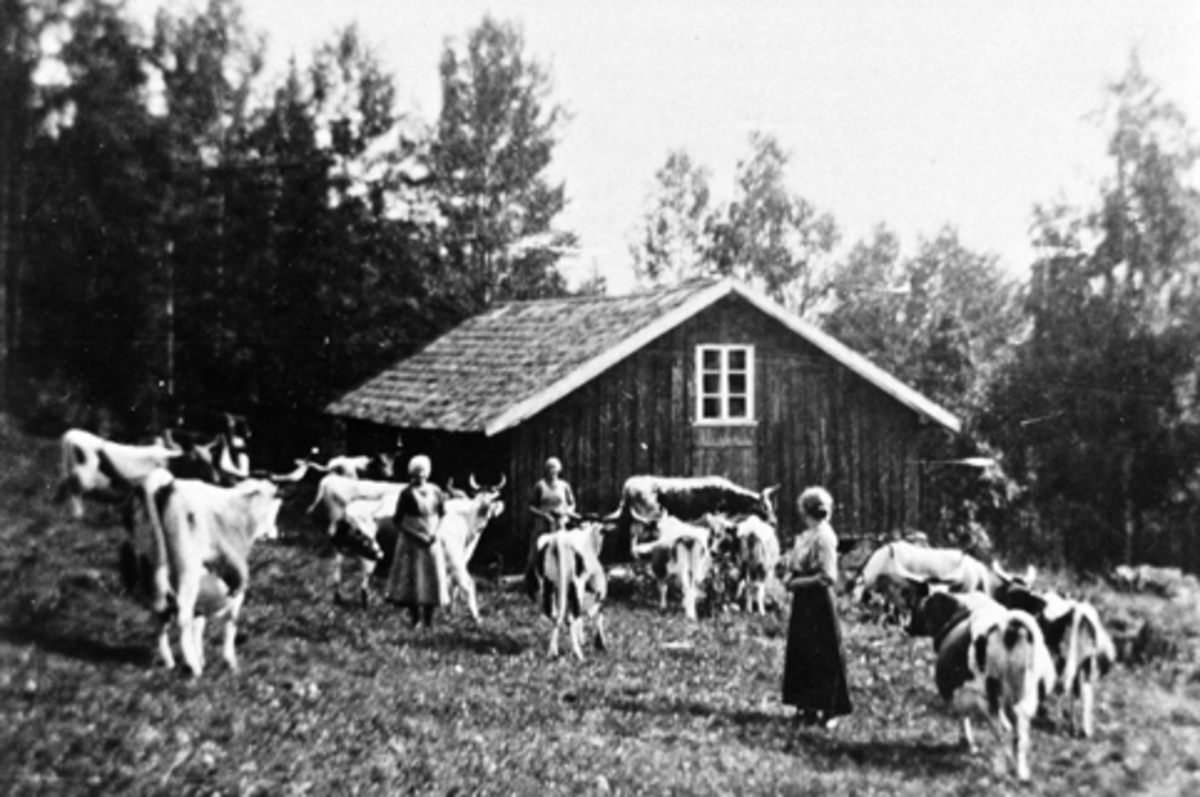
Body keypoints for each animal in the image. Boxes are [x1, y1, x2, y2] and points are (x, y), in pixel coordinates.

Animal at [137, 470, 282, 676]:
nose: (275, 533)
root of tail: (168, 486)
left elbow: (199, 622)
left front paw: (202, 656)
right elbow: (231, 619)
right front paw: (230, 662)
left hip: (155, 566)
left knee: (160, 611)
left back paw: (170, 661)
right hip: (187, 567)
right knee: (182, 614)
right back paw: (194, 667)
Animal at [535, 523, 609, 657]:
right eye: (602, 533)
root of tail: (558, 540)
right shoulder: (599, 596)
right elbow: (597, 617)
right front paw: (600, 644)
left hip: (550, 587)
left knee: (555, 616)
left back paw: (552, 652)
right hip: (576, 587)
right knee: (570, 618)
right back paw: (578, 654)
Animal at [609, 475, 777, 556]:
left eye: (771, 505)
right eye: (765, 507)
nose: (775, 522)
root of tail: (629, 483)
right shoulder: (715, 518)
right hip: (643, 515)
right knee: (633, 535)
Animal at [907, 588, 1051, 782]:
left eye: (924, 606)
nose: (907, 626)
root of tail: (1007, 625)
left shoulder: (962, 695)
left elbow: (963, 717)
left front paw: (967, 744)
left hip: (989, 697)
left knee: (1003, 730)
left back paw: (1000, 770)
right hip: (1022, 695)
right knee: (1019, 732)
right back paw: (1021, 773)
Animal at [988, 583, 1118, 739]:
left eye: (1010, 596)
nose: (994, 597)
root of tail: (1078, 613)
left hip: (1065, 659)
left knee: (1064, 688)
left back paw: (1061, 724)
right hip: (1083, 662)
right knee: (1082, 691)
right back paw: (1082, 729)